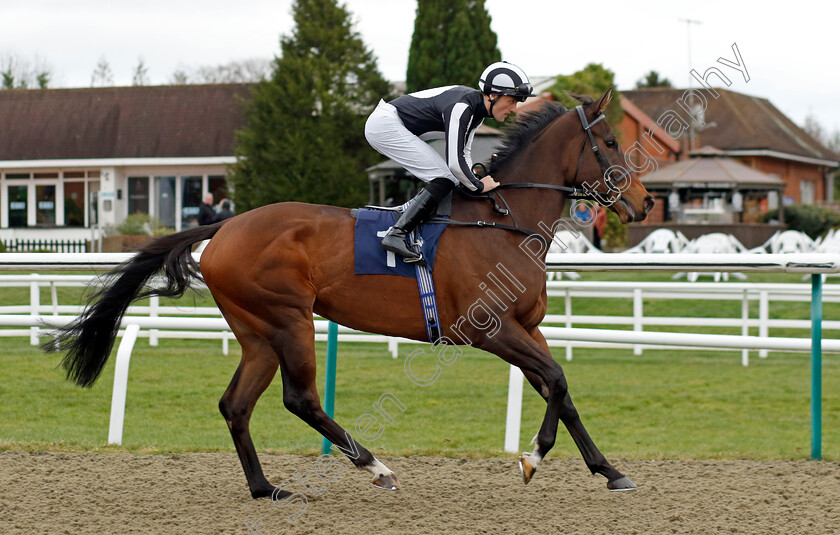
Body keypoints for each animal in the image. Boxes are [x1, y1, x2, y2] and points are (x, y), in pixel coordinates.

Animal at [49, 88, 652, 498]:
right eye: (611, 142)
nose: (644, 203)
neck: (503, 221)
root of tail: (224, 227)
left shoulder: (527, 327)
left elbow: (560, 389)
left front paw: (610, 470)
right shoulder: (492, 330)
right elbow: (556, 380)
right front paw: (533, 458)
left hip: (257, 333)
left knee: (236, 404)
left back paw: (265, 488)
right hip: (289, 320)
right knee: (300, 399)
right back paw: (375, 466)